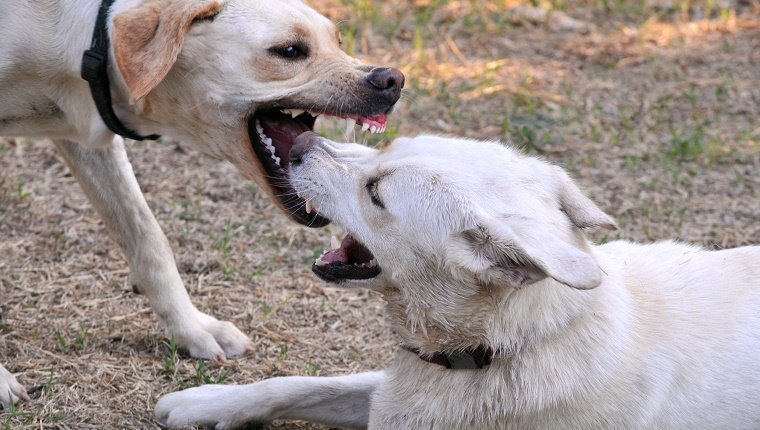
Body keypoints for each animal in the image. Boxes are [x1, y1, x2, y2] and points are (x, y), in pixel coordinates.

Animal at [0, 0, 404, 406]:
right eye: (289, 51)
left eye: (338, 42)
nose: (393, 79)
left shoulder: (89, 137)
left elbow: (148, 237)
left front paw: (193, 329)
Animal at [156, 133, 760, 428]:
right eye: (385, 147)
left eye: (376, 192)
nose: (296, 146)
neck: (509, 345)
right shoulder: (397, 391)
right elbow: (298, 384)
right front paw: (203, 403)